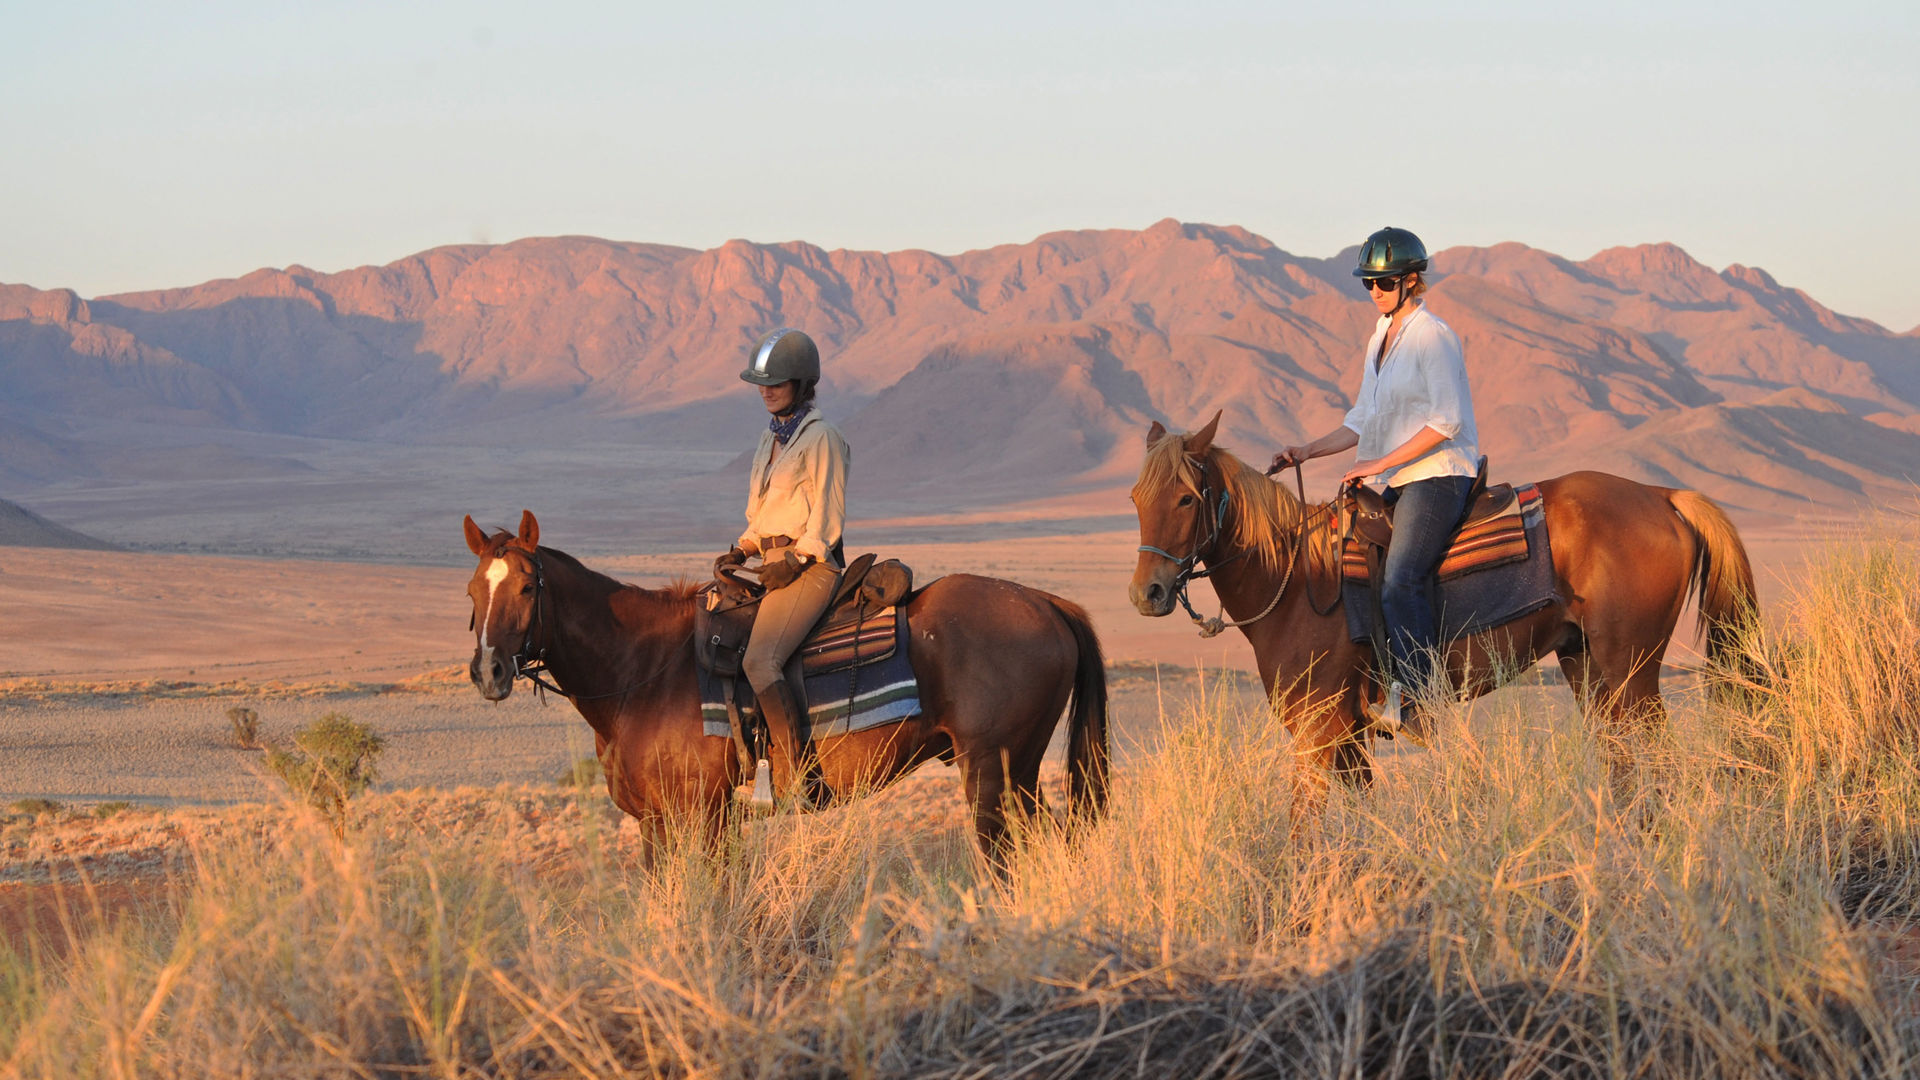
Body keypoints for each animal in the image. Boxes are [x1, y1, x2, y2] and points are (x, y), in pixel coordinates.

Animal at [458, 507, 1113, 853]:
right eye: (470, 591)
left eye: (526, 587)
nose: (490, 671)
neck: (641, 671)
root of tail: (1046, 603)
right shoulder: (657, 823)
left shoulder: (701, 816)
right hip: (1018, 772)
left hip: (991, 774)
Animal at [1128, 413, 1758, 814]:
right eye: (1136, 498)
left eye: (1186, 498)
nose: (1146, 594)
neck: (1299, 578)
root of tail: (1662, 495)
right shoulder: (1350, 739)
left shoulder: (1318, 729)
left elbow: (1304, 827)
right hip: (1588, 670)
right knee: (1623, 762)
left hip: (1634, 672)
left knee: (1660, 762)